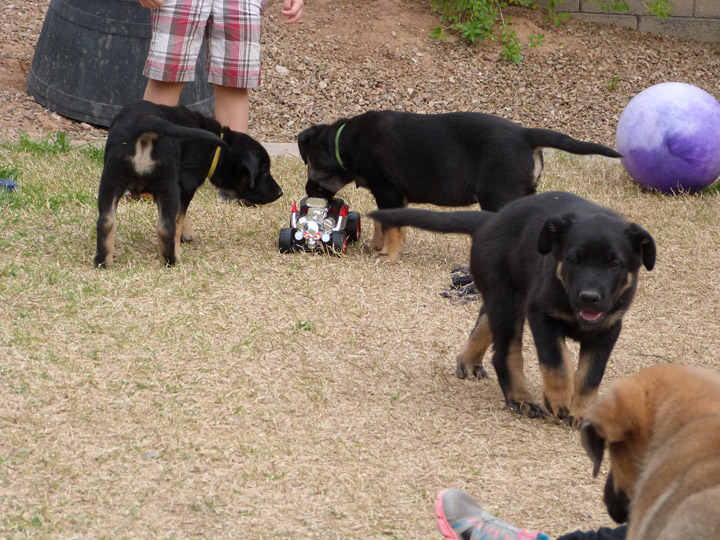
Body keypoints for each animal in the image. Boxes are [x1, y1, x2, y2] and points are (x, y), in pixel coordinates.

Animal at [90, 99, 282, 268]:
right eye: (264, 171)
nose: (280, 193)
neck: (216, 152)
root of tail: (145, 121)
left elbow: (181, 215)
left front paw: (186, 234)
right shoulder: (186, 183)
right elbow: (179, 218)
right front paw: (180, 245)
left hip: (111, 180)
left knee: (106, 222)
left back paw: (103, 262)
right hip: (166, 184)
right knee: (166, 227)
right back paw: (172, 262)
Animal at [296, 110, 620, 262]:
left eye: (310, 164)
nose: (309, 195)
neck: (344, 143)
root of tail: (527, 135)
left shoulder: (389, 190)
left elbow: (393, 227)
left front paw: (387, 255)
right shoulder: (387, 194)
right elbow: (382, 222)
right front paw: (376, 245)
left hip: (498, 195)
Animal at [368, 192, 656, 424]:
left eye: (614, 264)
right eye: (575, 260)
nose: (589, 298)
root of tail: (489, 221)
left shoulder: (608, 328)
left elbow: (590, 375)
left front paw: (581, 413)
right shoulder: (542, 314)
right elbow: (557, 362)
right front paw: (559, 401)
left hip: (503, 296)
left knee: (485, 321)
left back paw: (469, 361)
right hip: (509, 299)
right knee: (506, 353)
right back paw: (520, 399)